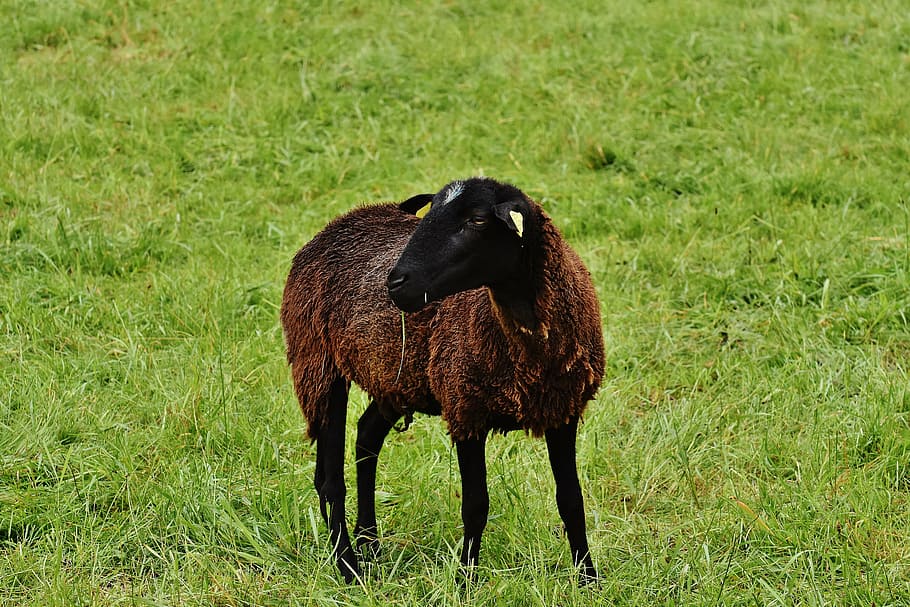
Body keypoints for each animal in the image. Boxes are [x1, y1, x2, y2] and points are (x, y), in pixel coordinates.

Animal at [280, 178, 604, 584]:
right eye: (431, 211)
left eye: (478, 220)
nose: (395, 283)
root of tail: (348, 217)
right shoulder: (465, 408)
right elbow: (476, 505)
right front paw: (465, 581)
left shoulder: (563, 410)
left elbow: (571, 499)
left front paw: (589, 578)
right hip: (318, 364)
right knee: (330, 482)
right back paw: (349, 565)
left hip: (394, 379)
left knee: (366, 439)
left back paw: (370, 543)